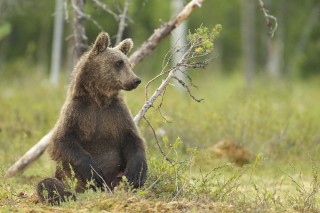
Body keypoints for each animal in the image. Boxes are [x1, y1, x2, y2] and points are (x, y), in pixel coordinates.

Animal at [36, 32, 148, 205]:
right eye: (118, 63)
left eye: (128, 64)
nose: (136, 80)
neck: (99, 99)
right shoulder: (78, 112)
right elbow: (62, 141)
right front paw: (94, 173)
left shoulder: (117, 114)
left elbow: (133, 139)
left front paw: (134, 175)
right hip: (72, 183)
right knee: (46, 184)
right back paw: (70, 197)